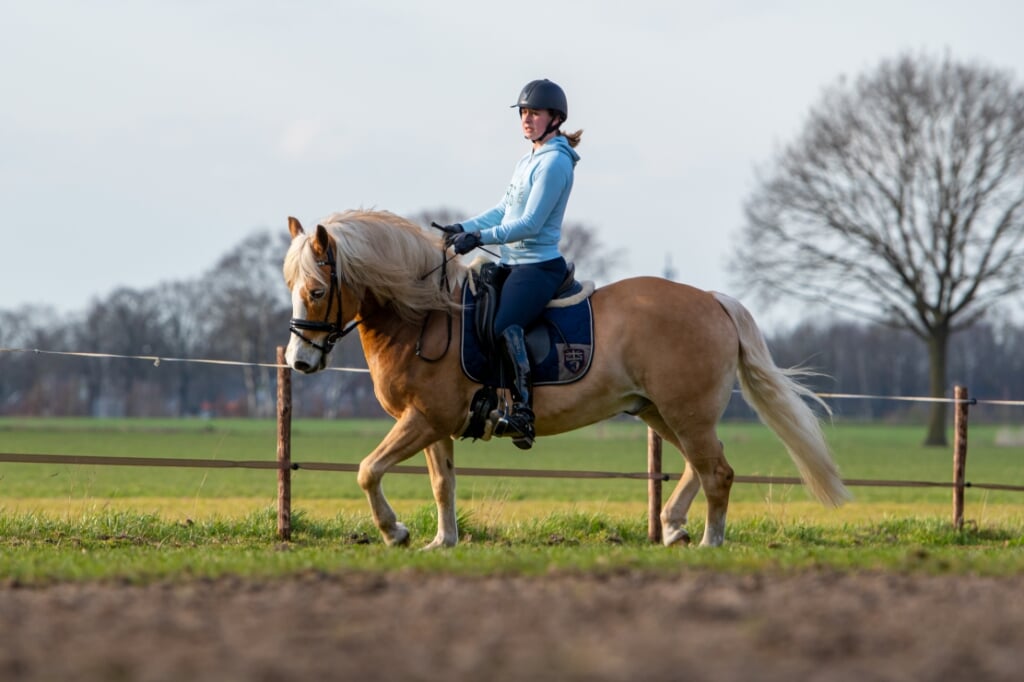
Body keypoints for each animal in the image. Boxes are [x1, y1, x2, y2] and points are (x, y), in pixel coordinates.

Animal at [282, 206, 847, 548]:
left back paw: (709, 541)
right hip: (661, 412)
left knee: (718, 472)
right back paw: (673, 527)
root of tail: (713, 300)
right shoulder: (433, 424)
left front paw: (394, 532)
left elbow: (367, 469)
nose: (299, 361)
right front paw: (441, 542)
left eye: (316, 291)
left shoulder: (423, 420)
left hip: (686, 414)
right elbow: (442, 483)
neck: (424, 315)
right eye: (291, 286)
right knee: (701, 465)